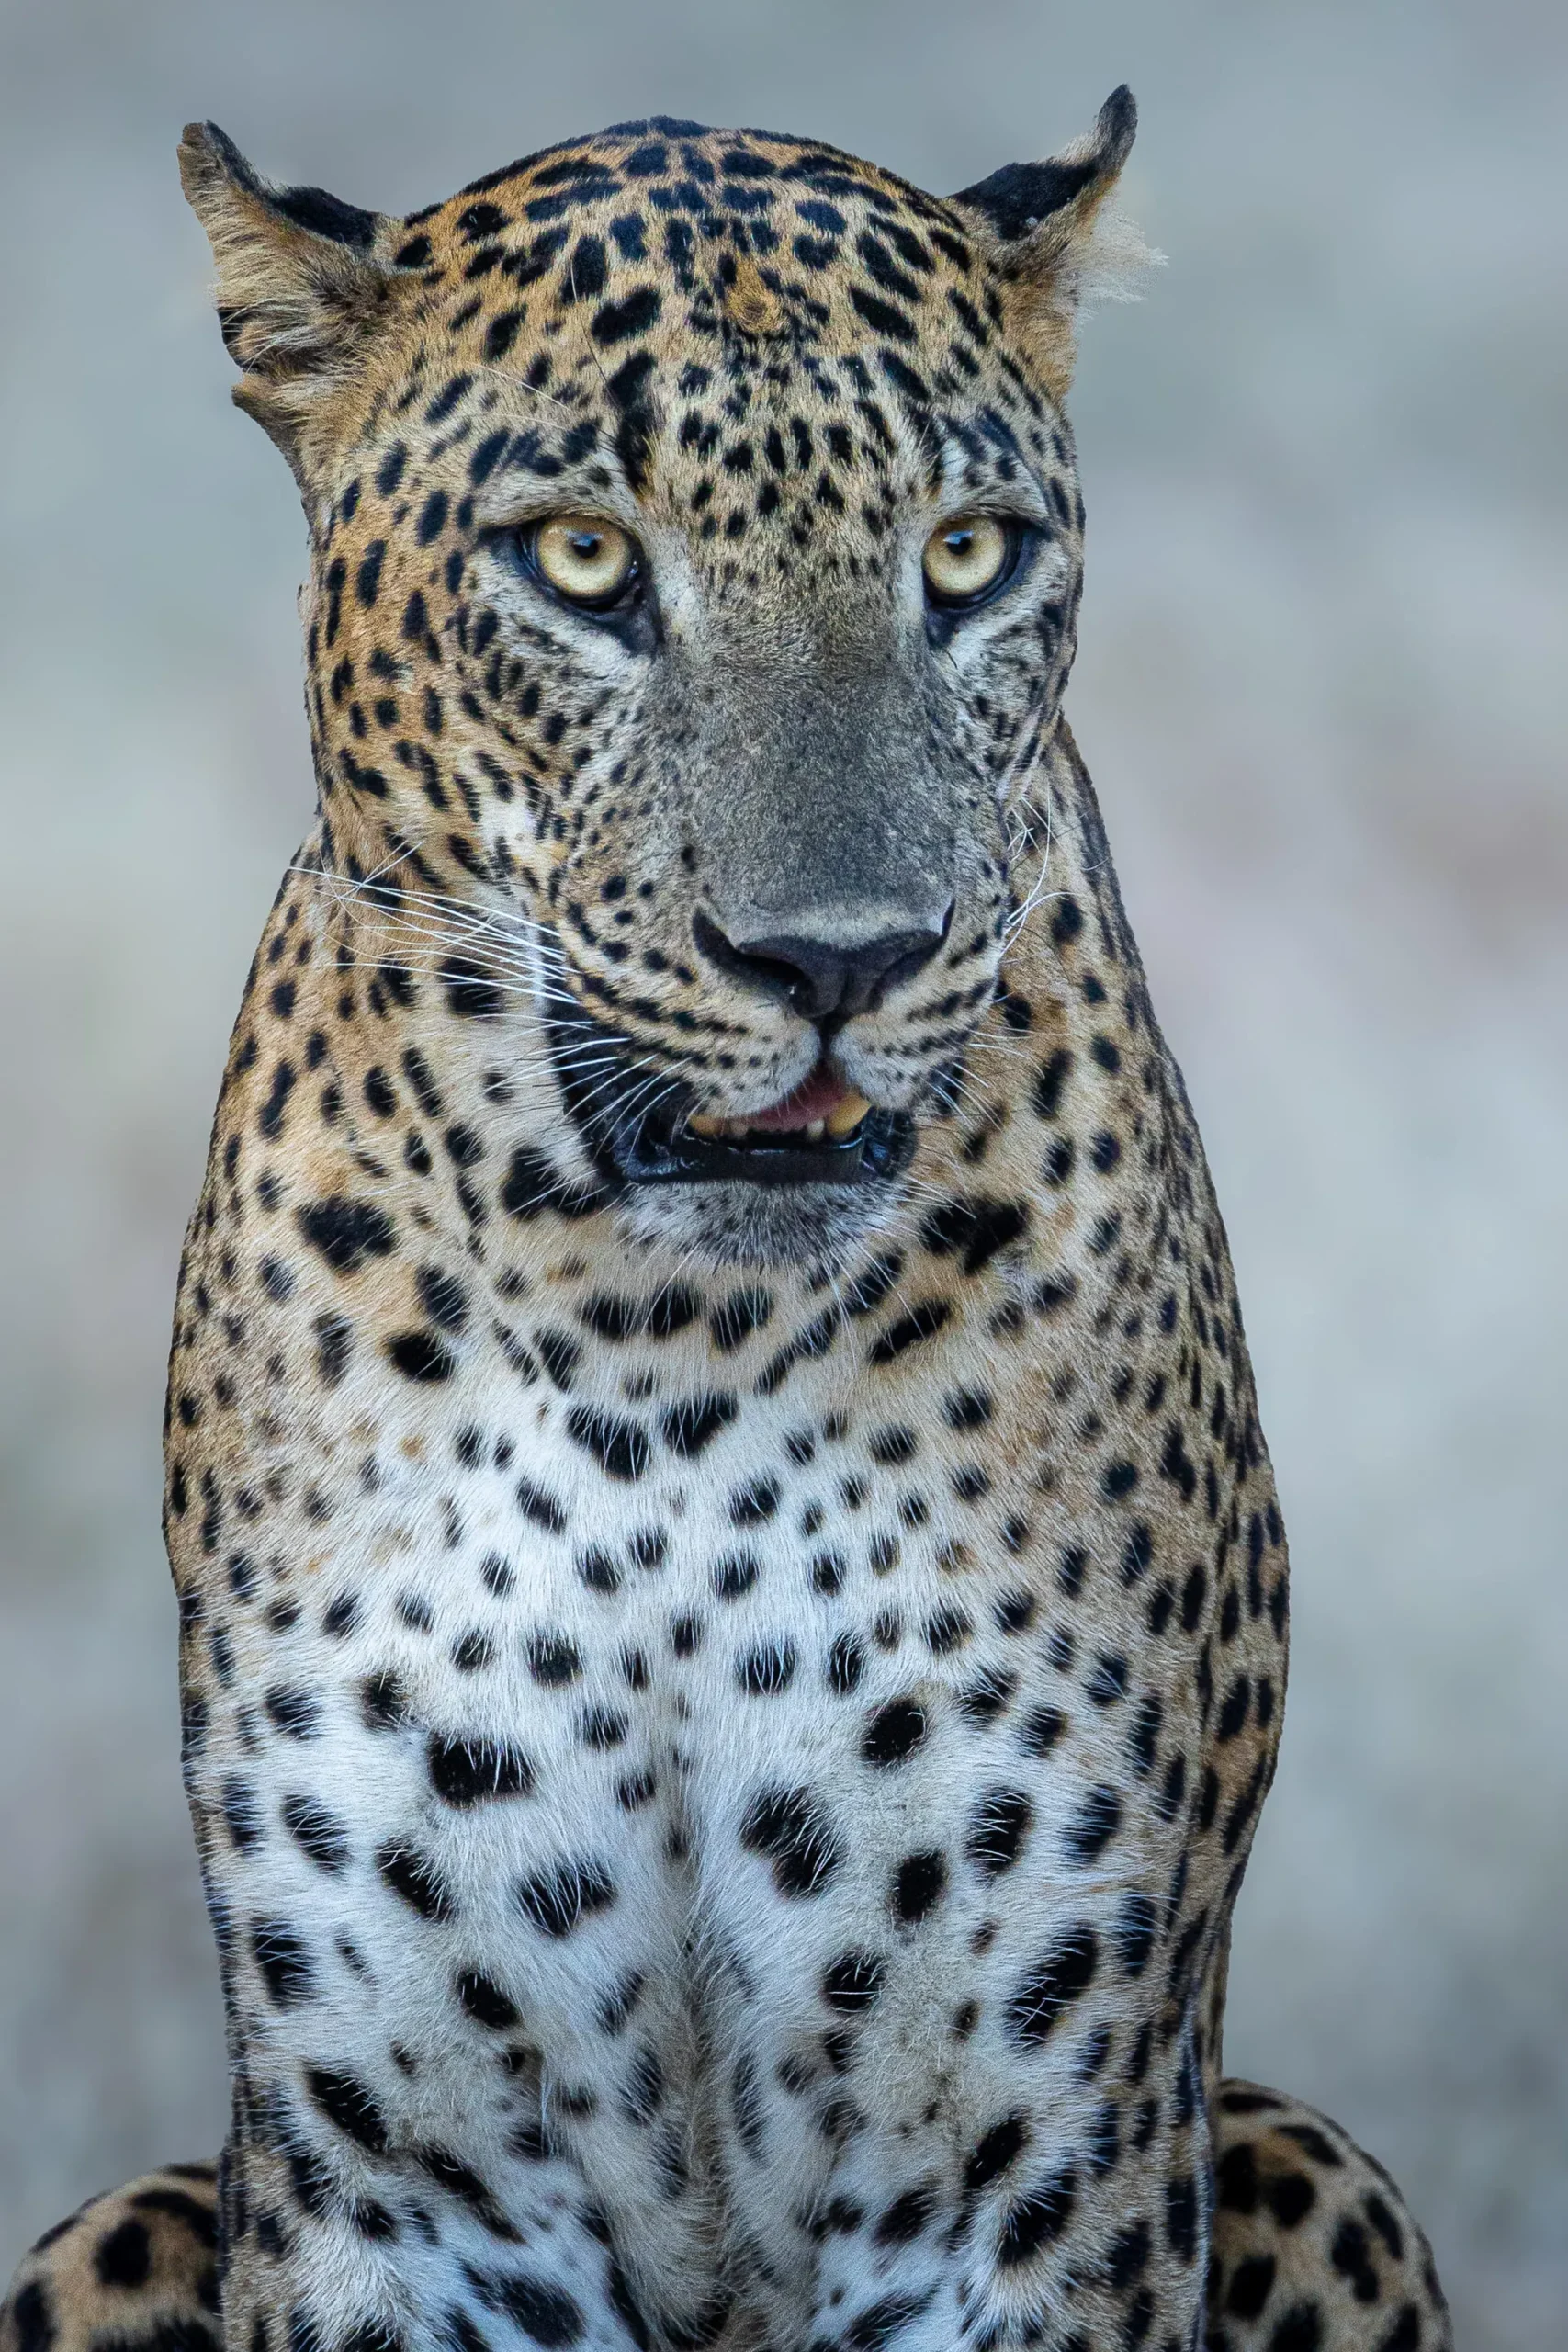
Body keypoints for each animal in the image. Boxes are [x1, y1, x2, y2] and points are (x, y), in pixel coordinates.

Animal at [2, 89, 1452, 2352]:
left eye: (966, 558)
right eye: (583, 561)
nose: (838, 958)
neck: (654, 1348)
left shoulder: (1030, 2157)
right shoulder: (395, 2168)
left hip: (1302, 2156)